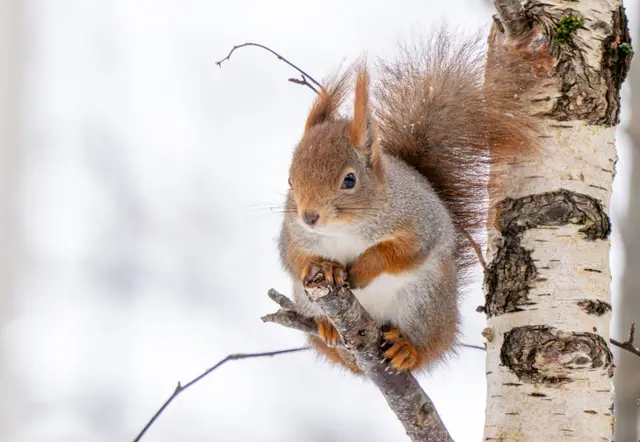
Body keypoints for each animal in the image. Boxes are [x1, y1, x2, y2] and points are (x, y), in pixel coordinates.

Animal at [278, 30, 536, 374]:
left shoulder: (420, 220)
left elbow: (400, 251)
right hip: (306, 300)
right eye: (290, 181)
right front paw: (323, 266)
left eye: (349, 180)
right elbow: (293, 258)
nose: (309, 216)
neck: (345, 229)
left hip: (425, 302)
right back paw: (328, 328)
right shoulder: (291, 234)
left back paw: (406, 349)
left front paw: (364, 267)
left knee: (427, 347)